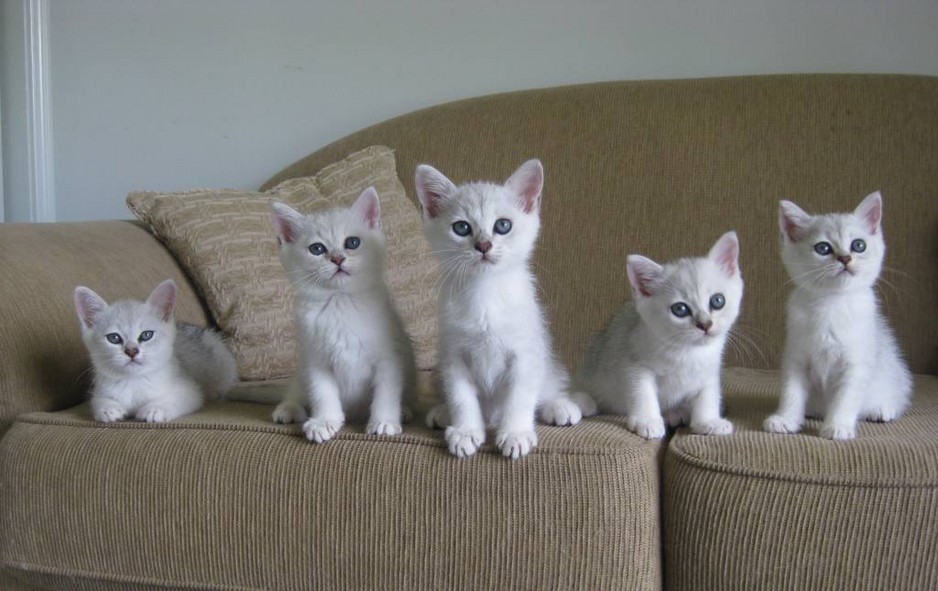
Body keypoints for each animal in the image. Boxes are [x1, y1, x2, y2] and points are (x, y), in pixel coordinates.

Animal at [73, 280, 238, 424]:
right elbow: (98, 400)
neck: (134, 381)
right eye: (114, 338)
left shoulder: (190, 390)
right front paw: (108, 408)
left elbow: (176, 398)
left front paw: (155, 409)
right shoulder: (100, 388)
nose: (131, 351)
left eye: (146, 335)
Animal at [266, 187, 414, 442]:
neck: (339, 302)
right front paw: (324, 421)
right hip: (302, 367)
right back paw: (289, 408)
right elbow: (322, 393)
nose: (337, 258)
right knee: (297, 390)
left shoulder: (389, 358)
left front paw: (384, 421)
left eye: (352, 242)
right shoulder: (316, 359)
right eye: (317, 249)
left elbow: (386, 393)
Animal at [414, 160, 592, 460]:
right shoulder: (453, 355)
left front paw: (515, 434)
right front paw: (466, 431)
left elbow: (519, 398)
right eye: (461, 228)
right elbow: (461, 397)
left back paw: (559, 406)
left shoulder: (525, 355)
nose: (483, 245)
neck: (485, 294)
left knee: (545, 388)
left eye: (503, 225)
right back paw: (443, 412)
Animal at [576, 231, 744, 440]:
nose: (705, 324)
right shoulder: (634, 363)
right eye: (680, 309)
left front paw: (708, 421)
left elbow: (708, 394)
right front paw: (647, 421)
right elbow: (642, 392)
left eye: (718, 300)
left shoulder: (710, 369)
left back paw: (676, 413)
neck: (687, 351)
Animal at [764, 192, 912, 442]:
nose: (845, 258)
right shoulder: (796, 358)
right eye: (823, 248)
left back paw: (883, 409)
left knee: (897, 396)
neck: (831, 304)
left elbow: (845, 398)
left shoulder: (856, 365)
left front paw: (837, 426)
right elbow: (791, 391)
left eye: (859, 245)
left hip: (893, 374)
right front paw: (786, 419)